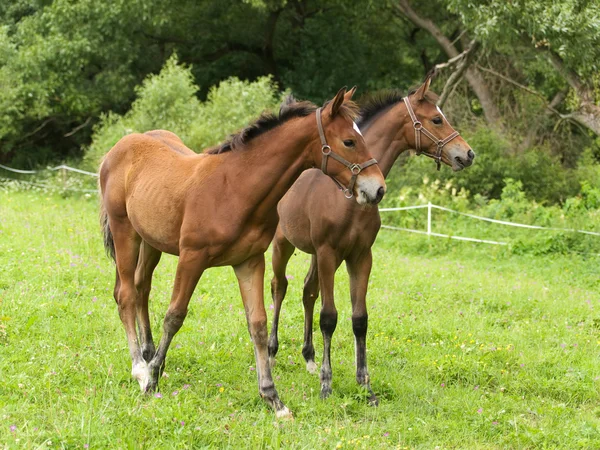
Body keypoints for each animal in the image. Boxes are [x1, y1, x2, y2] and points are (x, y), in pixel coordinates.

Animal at [98, 88, 384, 418]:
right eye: (349, 141)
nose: (378, 189)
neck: (235, 187)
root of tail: (117, 148)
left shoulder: (250, 262)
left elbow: (257, 324)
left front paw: (273, 398)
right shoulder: (192, 257)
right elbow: (174, 316)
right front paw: (153, 380)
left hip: (150, 242)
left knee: (141, 287)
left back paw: (147, 354)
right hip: (125, 232)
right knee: (126, 295)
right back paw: (140, 368)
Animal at [270, 74, 476, 404]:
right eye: (436, 119)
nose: (467, 154)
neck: (351, 197)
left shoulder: (361, 257)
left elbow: (359, 319)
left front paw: (365, 387)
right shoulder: (328, 253)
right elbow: (329, 317)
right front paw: (327, 385)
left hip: (314, 255)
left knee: (308, 292)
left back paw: (310, 358)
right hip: (283, 245)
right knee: (280, 288)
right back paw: (272, 353)